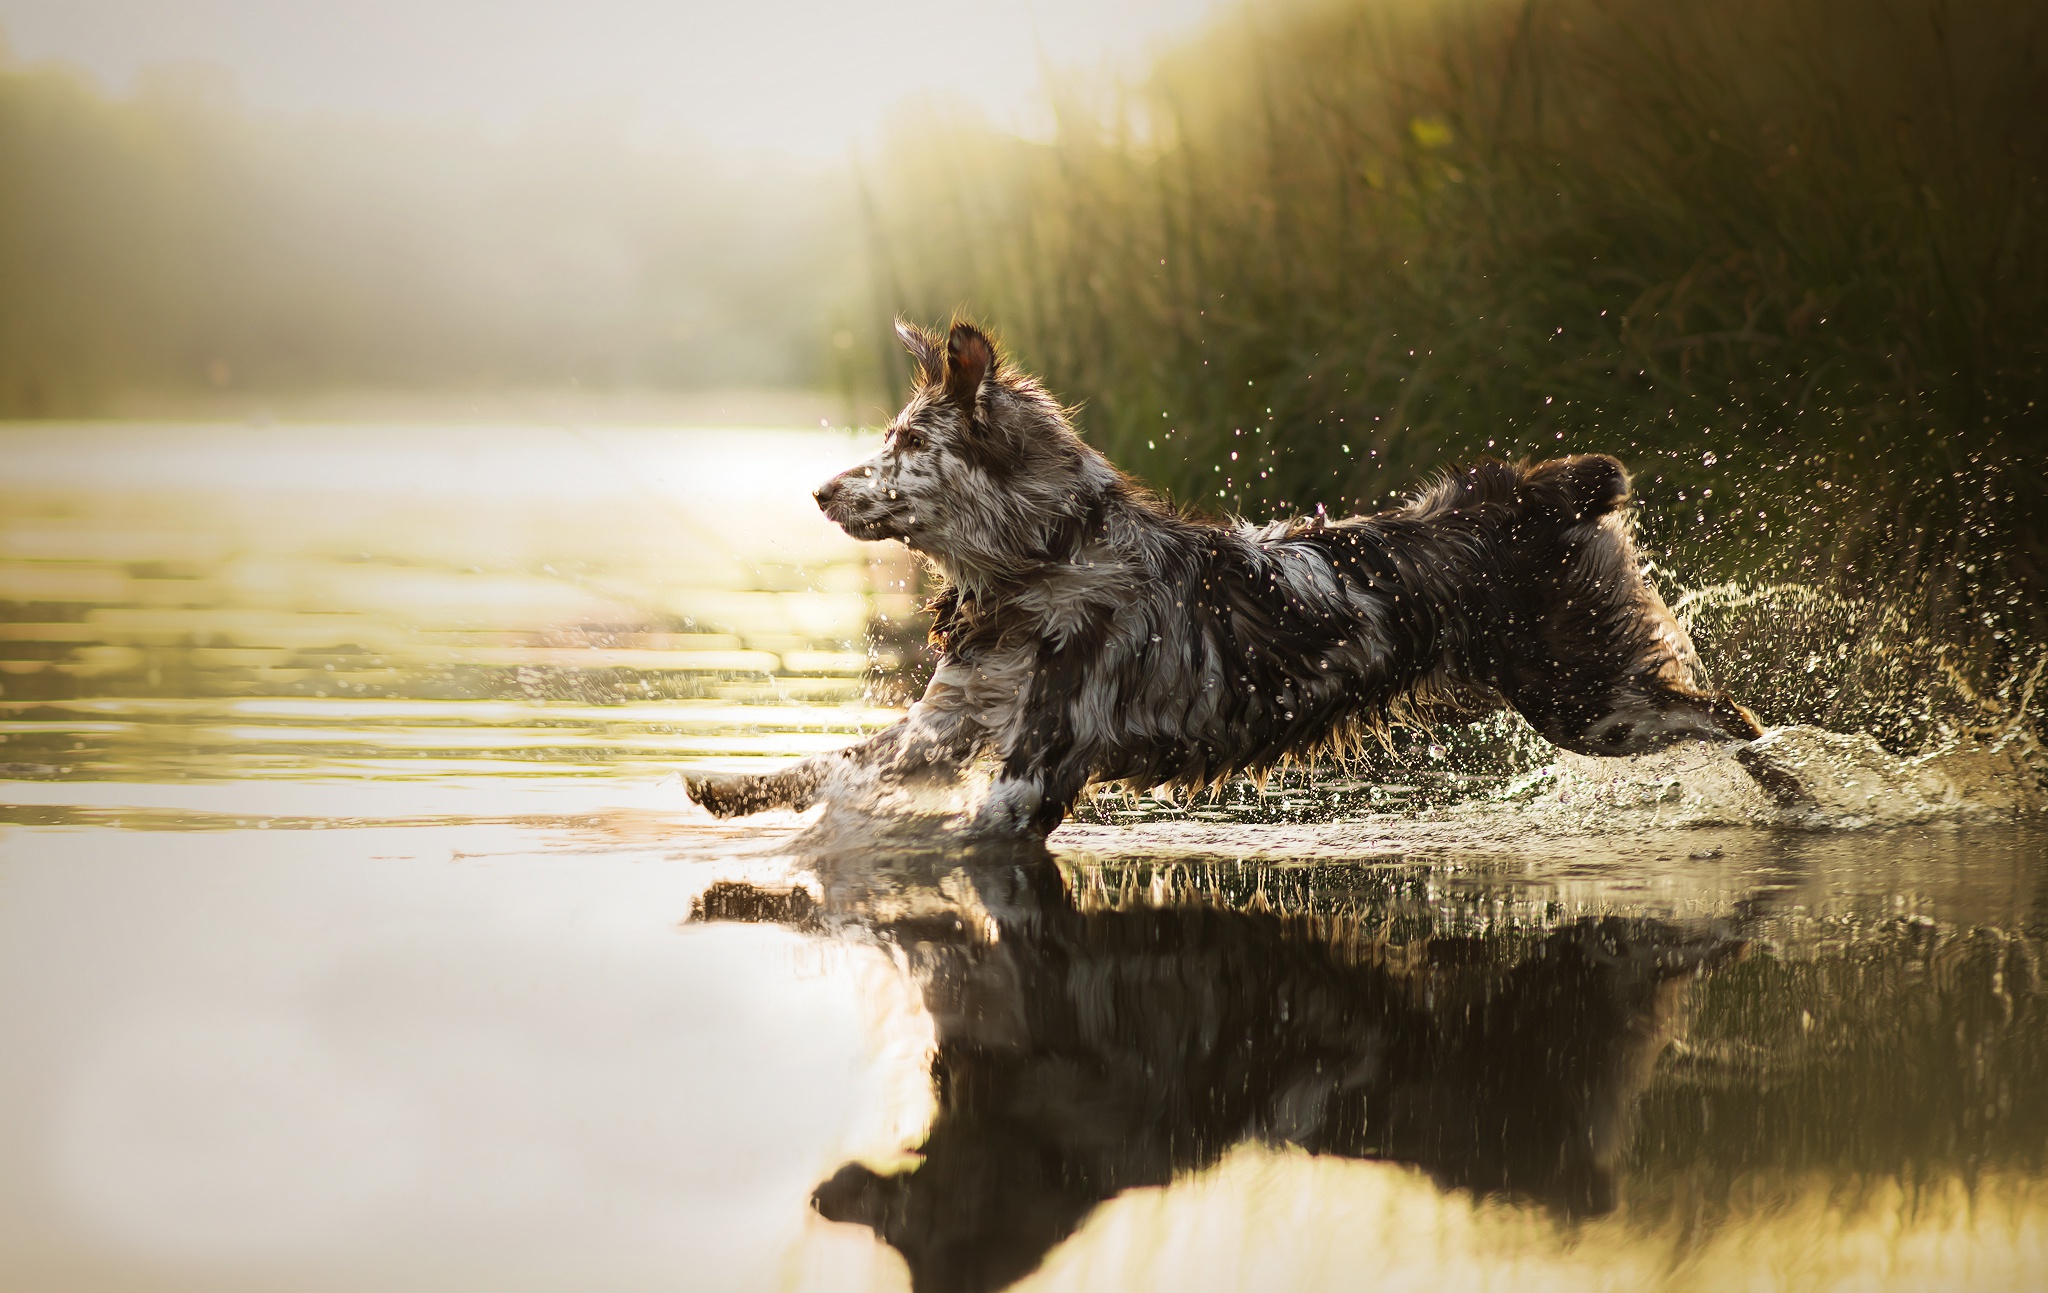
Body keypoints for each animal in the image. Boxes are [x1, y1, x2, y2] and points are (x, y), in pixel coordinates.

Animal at [688, 319, 1761, 836]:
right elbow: (828, 762)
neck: (1047, 562)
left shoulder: (1036, 766)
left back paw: (1792, 788)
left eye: (907, 444)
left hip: (1589, 700)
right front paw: (726, 786)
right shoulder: (945, 724)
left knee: (1734, 718)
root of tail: (1532, 495)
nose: (820, 490)